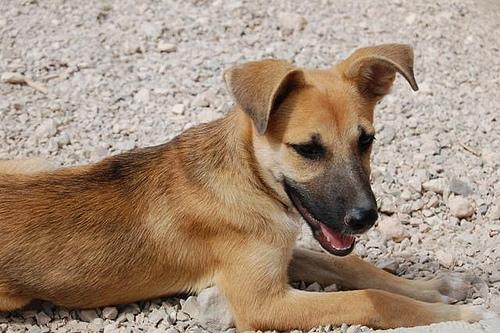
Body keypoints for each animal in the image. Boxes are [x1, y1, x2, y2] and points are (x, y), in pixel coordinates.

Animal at [0, 43, 488, 330]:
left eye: (366, 140)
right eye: (307, 149)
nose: (364, 218)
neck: (249, 177)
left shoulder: (282, 252)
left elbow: (357, 269)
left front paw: (437, 288)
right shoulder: (262, 303)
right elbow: (372, 300)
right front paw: (456, 315)